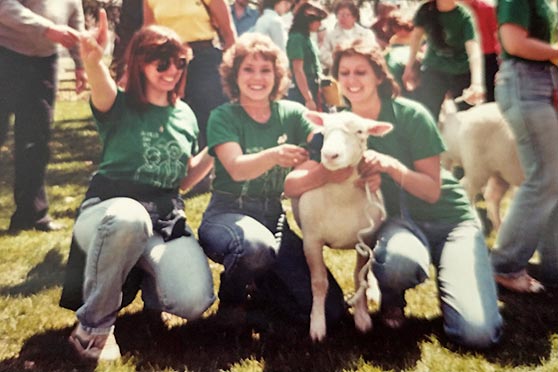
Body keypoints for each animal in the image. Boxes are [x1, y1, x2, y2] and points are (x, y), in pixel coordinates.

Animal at [294, 111, 394, 342]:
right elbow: (319, 283)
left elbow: (360, 278)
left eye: (360, 131)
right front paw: (317, 325)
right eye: (325, 130)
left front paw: (362, 318)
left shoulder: (366, 241)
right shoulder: (312, 240)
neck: (340, 200)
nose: (330, 155)